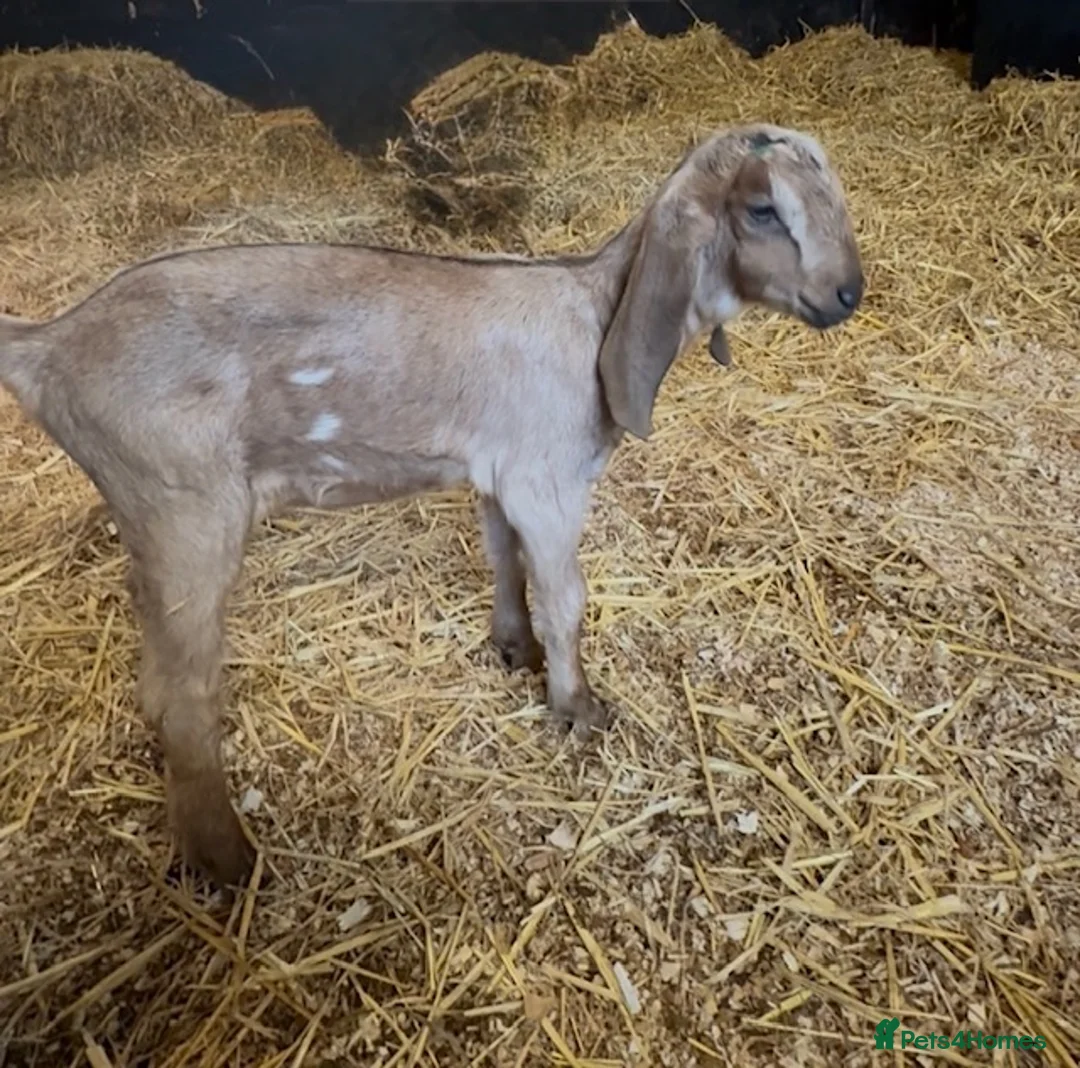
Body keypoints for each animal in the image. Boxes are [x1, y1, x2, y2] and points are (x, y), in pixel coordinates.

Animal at [0, 123, 863, 887]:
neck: (592, 317)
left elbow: (504, 562)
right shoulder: (546, 479)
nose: (848, 293)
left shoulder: (497, 473)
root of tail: (51, 345)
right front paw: (577, 710)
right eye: (762, 209)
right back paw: (228, 861)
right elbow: (567, 600)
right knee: (182, 696)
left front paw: (513, 650)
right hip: (185, 508)